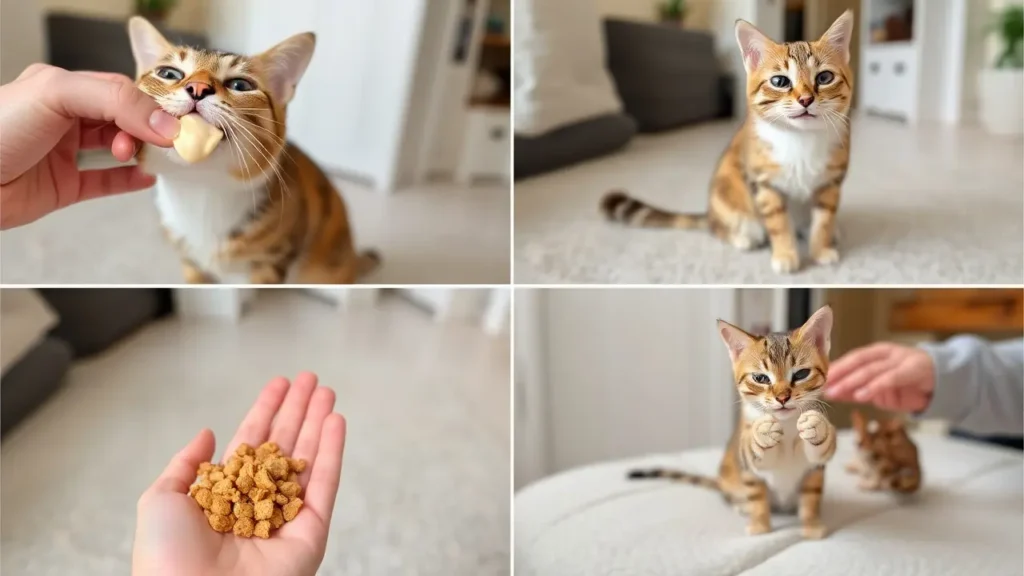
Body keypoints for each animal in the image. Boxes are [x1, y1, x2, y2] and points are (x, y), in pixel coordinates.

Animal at [125, 15, 378, 280]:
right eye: (168, 73)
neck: (201, 190)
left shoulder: (271, 263)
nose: (198, 88)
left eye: (240, 85)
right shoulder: (191, 261)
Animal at [598, 10, 856, 272]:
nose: (805, 99)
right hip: (728, 199)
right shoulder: (762, 182)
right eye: (780, 82)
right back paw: (742, 238)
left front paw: (821, 248)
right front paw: (785, 254)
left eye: (824, 77)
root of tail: (710, 212)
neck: (801, 140)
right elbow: (778, 221)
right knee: (718, 228)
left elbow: (824, 219)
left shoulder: (831, 181)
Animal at [626, 307, 835, 537]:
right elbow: (756, 474)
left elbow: (812, 493)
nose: (782, 397)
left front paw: (812, 525)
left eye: (801, 374)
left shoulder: (815, 467)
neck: (787, 426)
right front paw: (760, 525)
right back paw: (743, 505)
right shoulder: (749, 464)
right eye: (761, 378)